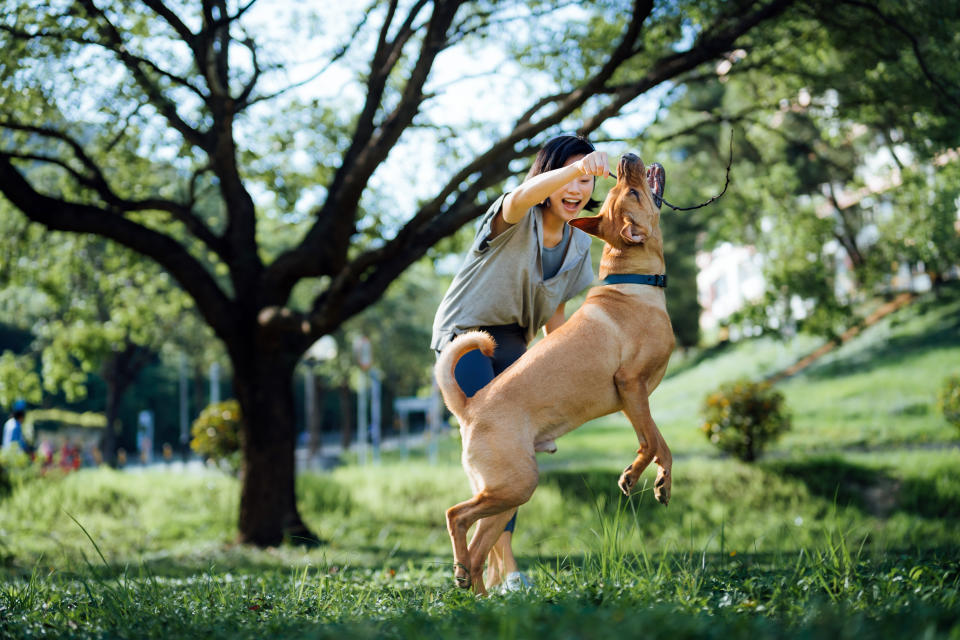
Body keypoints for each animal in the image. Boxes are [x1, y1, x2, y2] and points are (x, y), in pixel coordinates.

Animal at [436, 152, 676, 592]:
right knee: (456, 516)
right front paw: (639, 477)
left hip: (507, 493)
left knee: (479, 552)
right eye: (632, 192)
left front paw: (655, 481)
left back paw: (473, 590)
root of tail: (469, 407)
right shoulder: (631, 386)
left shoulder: (637, 401)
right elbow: (651, 444)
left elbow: (658, 444)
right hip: (516, 484)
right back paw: (464, 575)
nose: (625, 157)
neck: (633, 280)